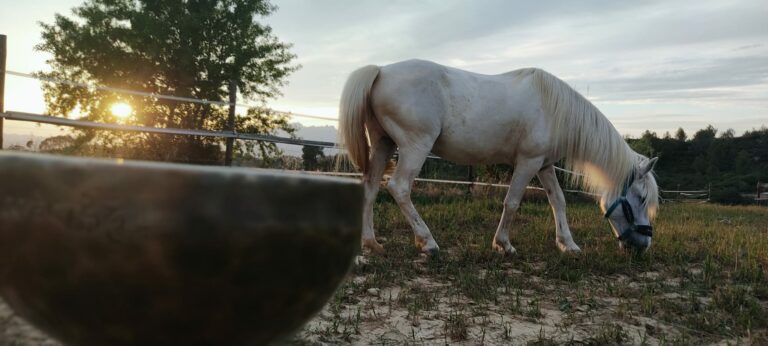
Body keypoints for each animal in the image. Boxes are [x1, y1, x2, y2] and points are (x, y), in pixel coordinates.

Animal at [340, 58, 656, 254]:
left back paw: (371, 243)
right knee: (399, 188)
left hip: (383, 144)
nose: (643, 244)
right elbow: (512, 202)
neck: (554, 110)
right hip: (415, 147)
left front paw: (568, 244)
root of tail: (381, 71)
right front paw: (503, 244)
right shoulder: (528, 162)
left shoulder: (544, 165)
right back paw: (428, 242)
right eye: (641, 198)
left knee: (370, 188)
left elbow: (558, 201)